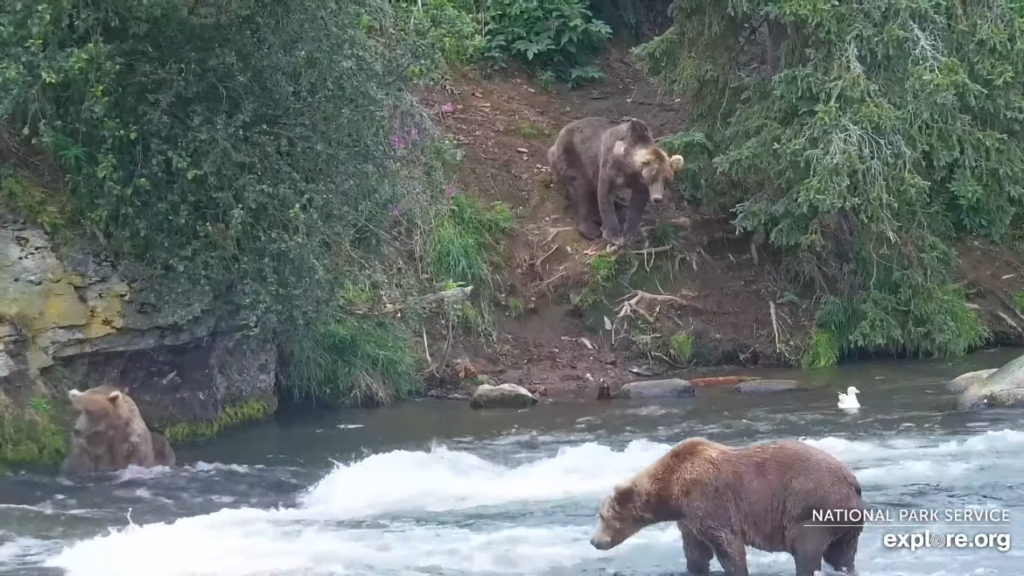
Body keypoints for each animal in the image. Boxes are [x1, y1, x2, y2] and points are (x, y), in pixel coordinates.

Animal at [548, 115, 684, 242]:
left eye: (667, 179)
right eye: (653, 175)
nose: (657, 199)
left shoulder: (639, 181)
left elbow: (638, 202)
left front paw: (630, 233)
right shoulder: (609, 165)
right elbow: (604, 194)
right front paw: (613, 234)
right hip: (572, 158)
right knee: (580, 189)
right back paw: (591, 230)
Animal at [593, 434, 864, 573]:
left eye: (603, 517)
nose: (594, 541)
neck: (671, 494)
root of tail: (852, 480)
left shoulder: (709, 504)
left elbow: (727, 547)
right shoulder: (688, 520)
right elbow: (695, 551)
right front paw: (695, 568)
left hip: (812, 508)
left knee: (806, 552)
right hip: (843, 519)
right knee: (841, 554)